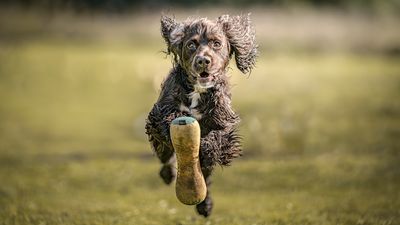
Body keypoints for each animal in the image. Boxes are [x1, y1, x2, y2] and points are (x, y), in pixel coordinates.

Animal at [145, 13, 258, 216]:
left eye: (216, 43)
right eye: (191, 44)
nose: (203, 60)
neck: (198, 91)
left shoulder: (223, 121)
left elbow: (220, 137)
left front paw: (206, 146)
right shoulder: (159, 113)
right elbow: (165, 119)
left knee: (205, 177)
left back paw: (205, 205)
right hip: (162, 150)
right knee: (166, 159)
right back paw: (169, 174)